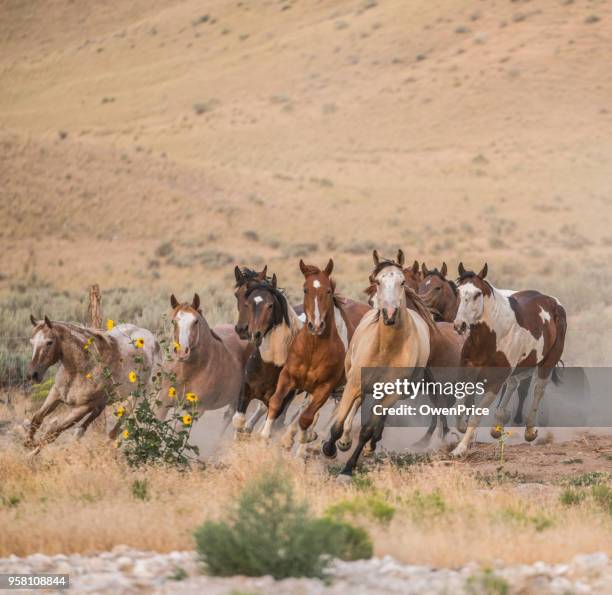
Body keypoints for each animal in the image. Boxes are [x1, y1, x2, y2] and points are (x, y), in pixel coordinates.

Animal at [26, 316, 161, 448]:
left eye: (49, 342)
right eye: (32, 342)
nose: (32, 375)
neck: (82, 369)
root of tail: (153, 339)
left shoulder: (83, 407)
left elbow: (53, 432)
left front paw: (34, 445)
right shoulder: (55, 394)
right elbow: (37, 418)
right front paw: (29, 442)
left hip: (137, 397)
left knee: (115, 429)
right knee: (91, 421)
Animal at [155, 294, 249, 424]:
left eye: (195, 321)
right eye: (173, 321)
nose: (182, 352)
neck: (188, 372)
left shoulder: (197, 410)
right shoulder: (163, 402)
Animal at [260, 258, 368, 456]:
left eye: (328, 290)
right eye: (305, 289)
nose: (316, 325)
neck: (313, 349)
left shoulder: (324, 388)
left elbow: (307, 417)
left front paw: (304, 439)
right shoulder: (287, 377)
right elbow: (276, 403)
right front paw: (264, 438)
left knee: (350, 406)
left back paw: (342, 441)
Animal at [450, 264, 568, 456]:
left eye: (477, 294)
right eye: (458, 291)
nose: (460, 325)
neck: (491, 336)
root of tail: (552, 302)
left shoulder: (495, 381)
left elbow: (476, 415)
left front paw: (460, 449)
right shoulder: (466, 370)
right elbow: (459, 405)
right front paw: (462, 427)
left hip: (548, 362)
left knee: (538, 390)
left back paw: (530, 431)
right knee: (513, 384)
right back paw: (498, 425)